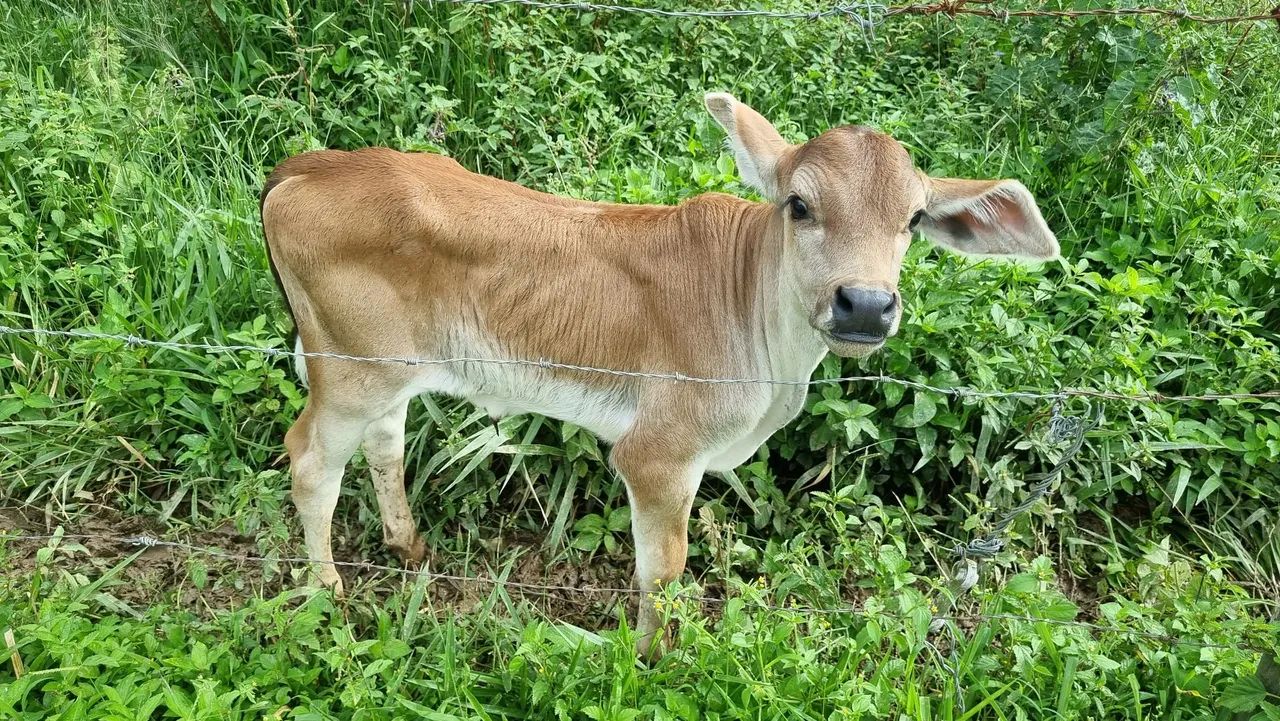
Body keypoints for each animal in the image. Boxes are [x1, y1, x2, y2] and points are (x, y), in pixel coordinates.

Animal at [259, 92, 1060, 655]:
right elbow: (664, 571)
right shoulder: (659, 455)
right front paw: (649, 655)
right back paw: (329, 589)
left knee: (385, 443)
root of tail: (309, 166)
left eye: (914, 220)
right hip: (349, 370)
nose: (864, 303)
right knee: (310, 462)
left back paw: (409, 545)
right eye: (799, 204)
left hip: (391, 372)